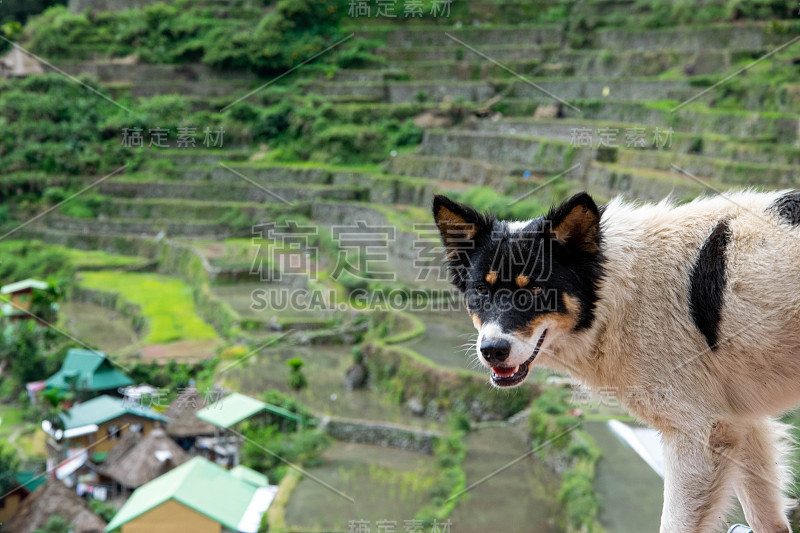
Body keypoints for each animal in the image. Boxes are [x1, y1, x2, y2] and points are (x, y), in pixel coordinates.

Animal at [434, 190, 800, 532]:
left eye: (536, 291)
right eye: (481, 290)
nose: (492, 350)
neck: (617, 294)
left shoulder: (700, 432)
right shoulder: (741, 421)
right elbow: (766, 516)